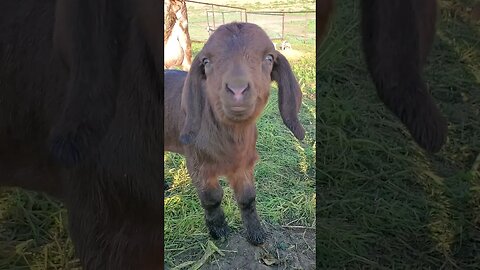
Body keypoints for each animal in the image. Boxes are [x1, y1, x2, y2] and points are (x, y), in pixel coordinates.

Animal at [163, 23, 302, 245]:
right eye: (206, 61)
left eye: (268, 58)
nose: (237, 90)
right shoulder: (197, 164)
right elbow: (211, 198)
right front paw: (218, 229)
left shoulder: (244, 165)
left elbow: (247, 198)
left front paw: (256, 232)